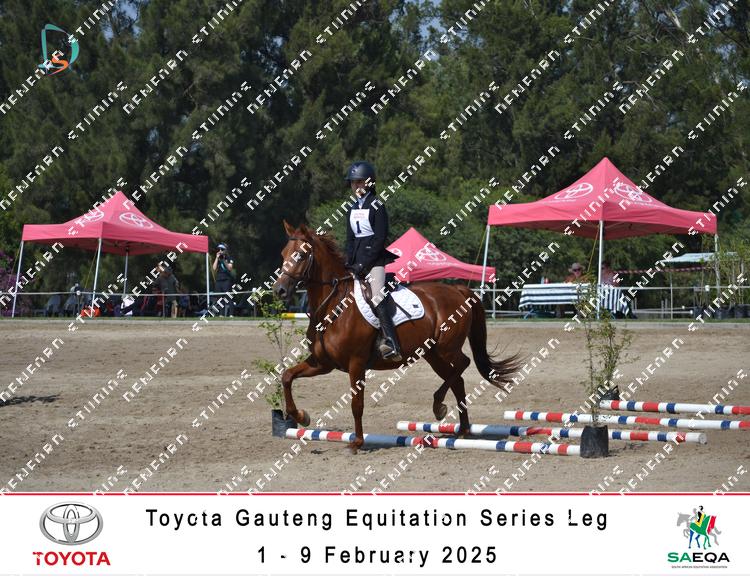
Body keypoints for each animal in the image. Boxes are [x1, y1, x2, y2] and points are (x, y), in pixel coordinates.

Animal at [272, 221, 521, 453]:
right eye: (283, 254)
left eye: (301, 254)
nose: (279, 290)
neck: (334, 305)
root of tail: (458, 290)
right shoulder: (323, 363)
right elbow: (287, 376)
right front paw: (301, 416)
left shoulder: (356, 363)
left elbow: (357, 404)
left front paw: (357, 442)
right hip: (432, 354)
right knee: (457, 379)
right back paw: (463, 429)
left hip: (445, 348)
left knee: (463, 364)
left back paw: (439, 406)